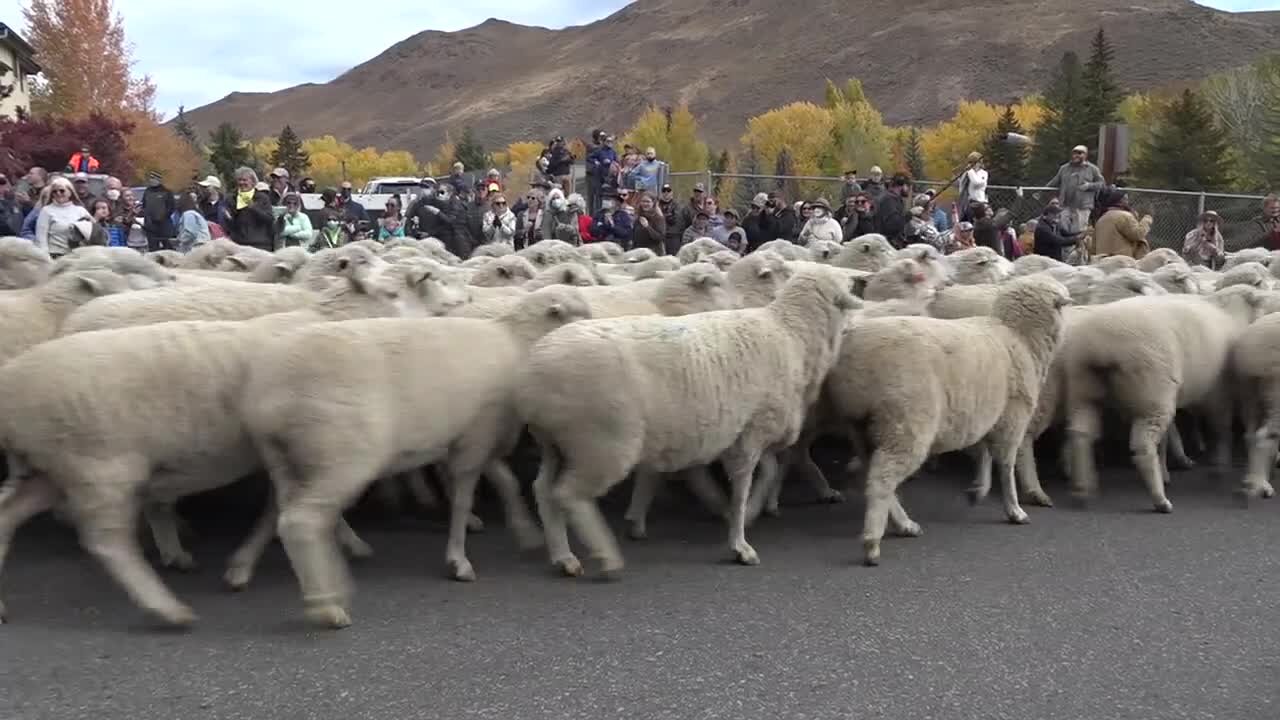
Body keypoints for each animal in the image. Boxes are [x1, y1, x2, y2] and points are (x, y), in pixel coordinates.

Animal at [240, 285, 593, 627]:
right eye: (579, 315)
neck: (516, 342)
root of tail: (269, 401)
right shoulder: (476, 437)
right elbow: (463, 500)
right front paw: (458, 560)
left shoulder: (476, 437)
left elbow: (506, 484)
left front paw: (526, 532)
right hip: (341, 453)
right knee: (301, 520)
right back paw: (327, 605)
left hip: (287, 460)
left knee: (284, 513)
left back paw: (251, 567)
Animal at [512, 266, 860, 573]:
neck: (792, 335)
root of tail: (535, 371)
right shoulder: (751, 431)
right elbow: (743, 486)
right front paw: (740, 539)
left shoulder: (736, 433)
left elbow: (766, 471)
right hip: (602, 443)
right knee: (568, 494)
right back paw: (605, 556)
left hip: (557, 444)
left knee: (544, 491)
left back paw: (563, 557)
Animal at [819, 272, 1070, 561]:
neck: (1019, 337)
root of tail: (851, 355)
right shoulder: (1012, 418)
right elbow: (1005, 465)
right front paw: (1014, 510)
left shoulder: (985, 413)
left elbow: (983, 453)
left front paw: (978, 490)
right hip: (905, 424)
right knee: (881, 480)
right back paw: (872, 542)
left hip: (863, 427)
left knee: (873, 476)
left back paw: (904, 525)